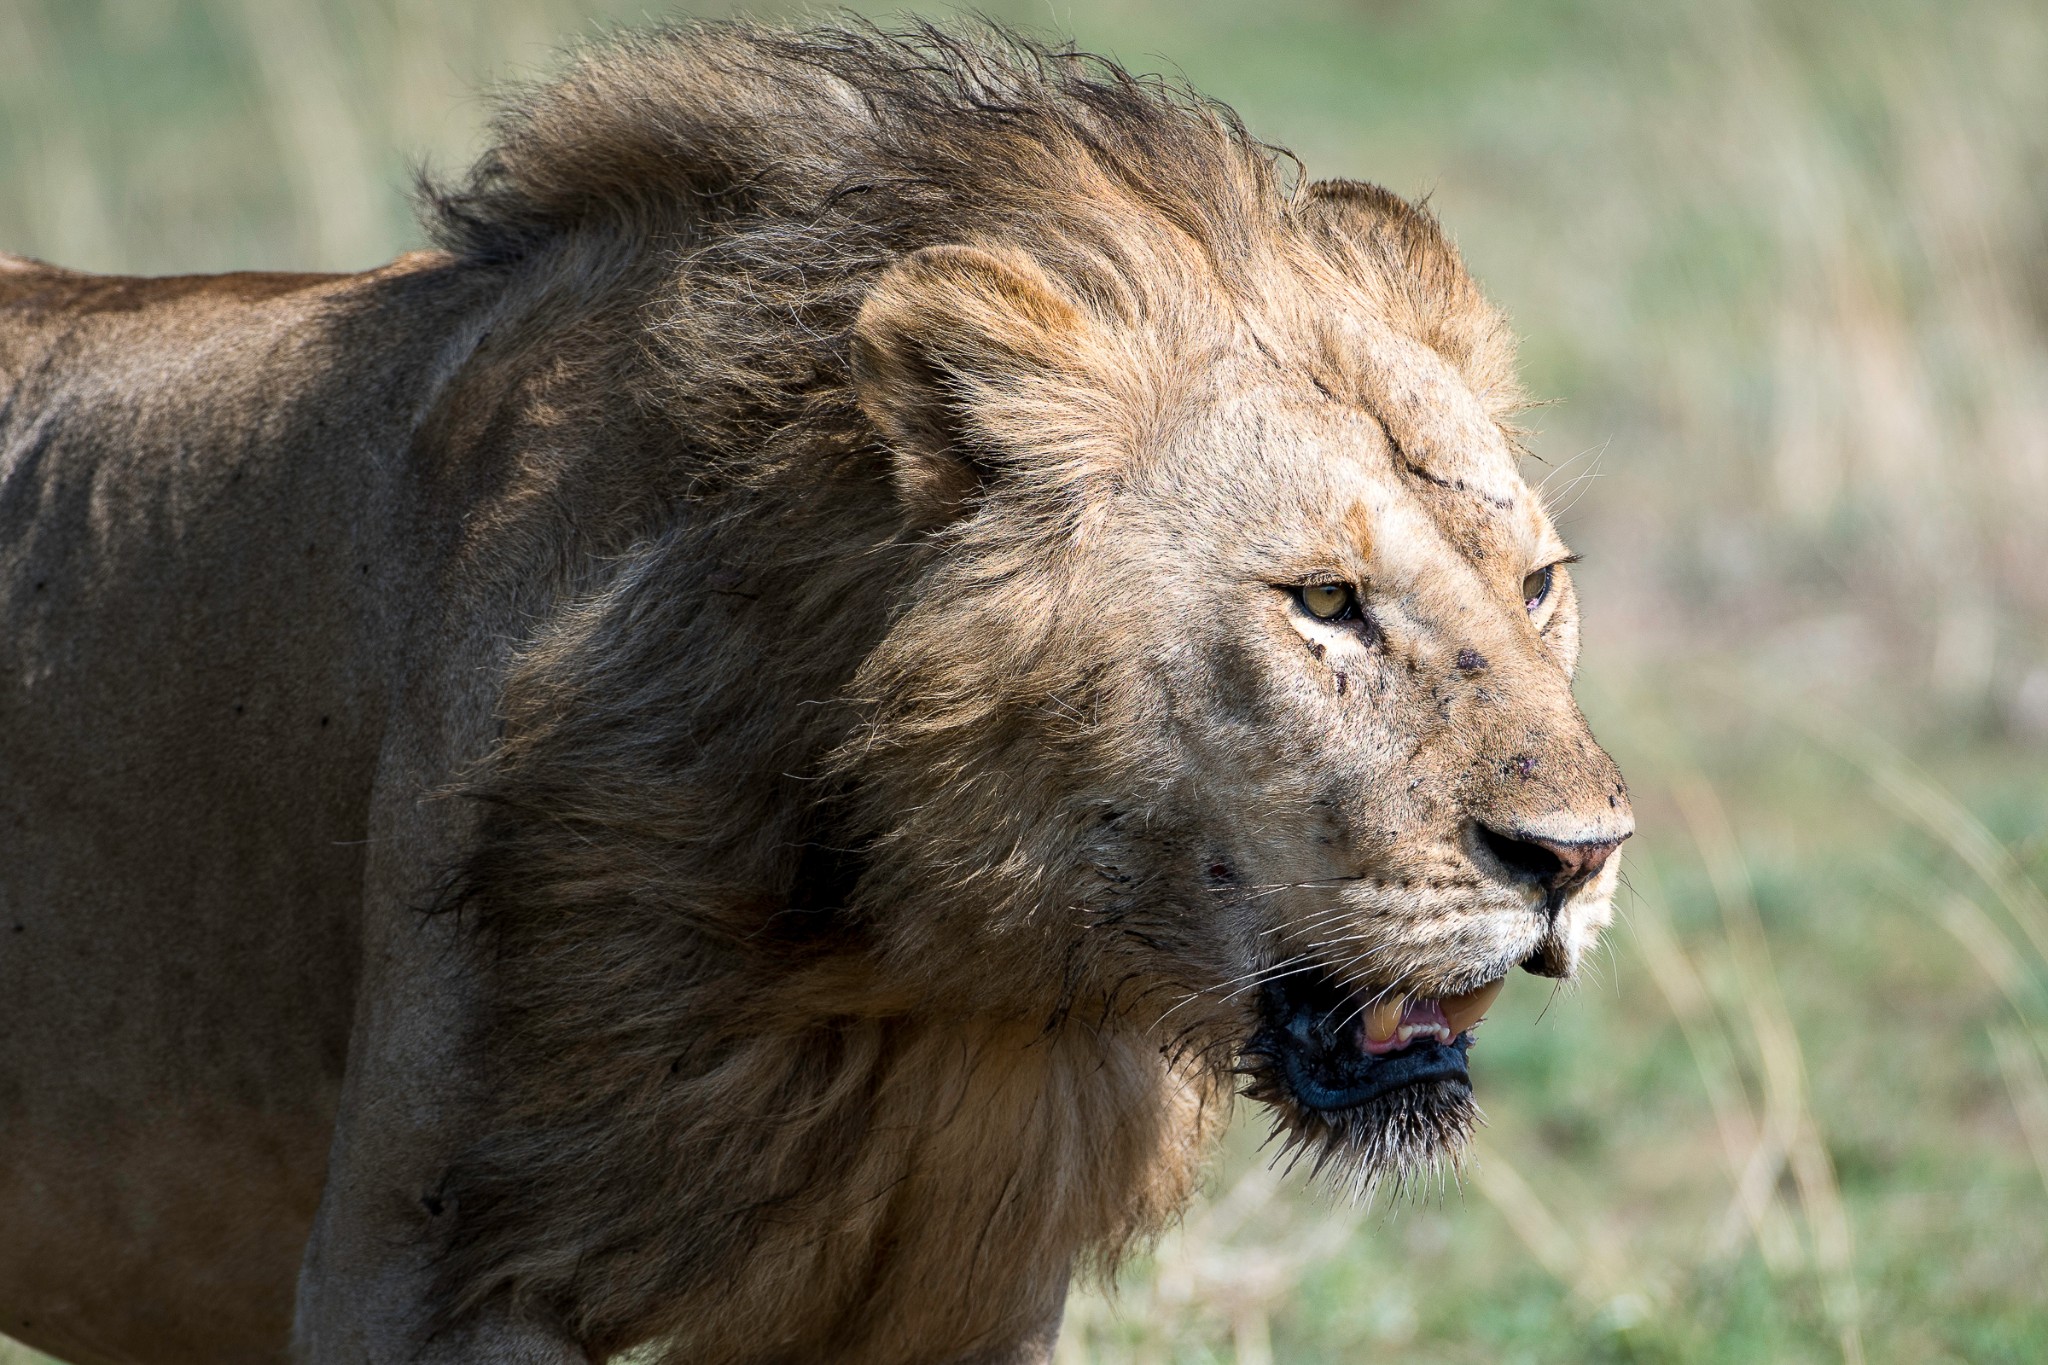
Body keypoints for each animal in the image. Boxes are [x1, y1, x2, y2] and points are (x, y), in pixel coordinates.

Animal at [0, 21, 1630, 1365]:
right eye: (1324, 602)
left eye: (1536, 585)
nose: (1578, 859)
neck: (923, 962)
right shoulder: (422, 1274)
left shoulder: (967, 1300)